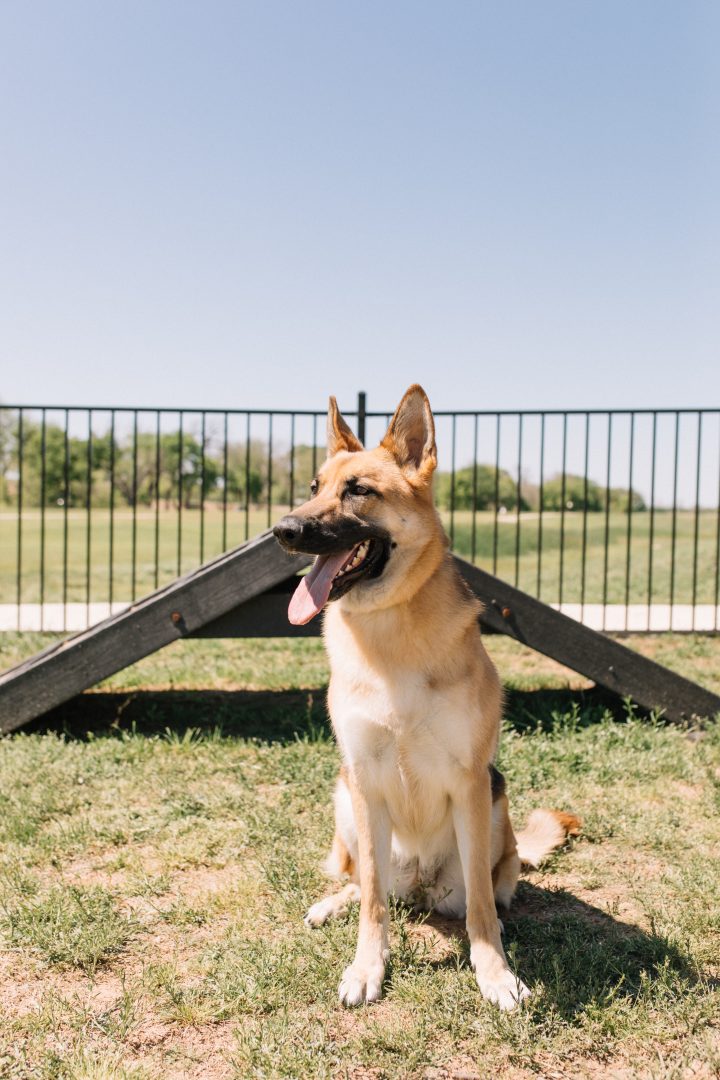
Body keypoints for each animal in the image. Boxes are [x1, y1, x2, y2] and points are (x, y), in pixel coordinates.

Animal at [272, 384, 578, 1006]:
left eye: (358, 490)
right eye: (315, 488)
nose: (283, 531)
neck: (390, 634)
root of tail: (419, 887)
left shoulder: (470, 781)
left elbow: (481, 909)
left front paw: (495, 973)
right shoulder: (364, 779)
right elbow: (370, 898)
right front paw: (368, 966)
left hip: (493, 808)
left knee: (483, 893)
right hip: (346, 800)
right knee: (368, 885)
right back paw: (333, 904)